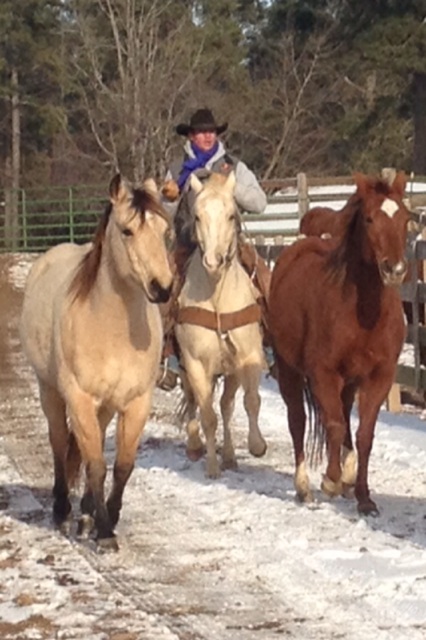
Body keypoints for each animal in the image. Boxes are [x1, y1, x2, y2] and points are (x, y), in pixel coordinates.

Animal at [20, 174, 173, 550]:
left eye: (165, 230)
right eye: (127, 230)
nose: (162, 288)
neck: (112, 329)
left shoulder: (135, 401)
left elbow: (121, 465)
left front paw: (107, 518)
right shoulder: (79, 399)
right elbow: (95, 465)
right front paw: (104, 533)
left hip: (104, 405)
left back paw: (86, 512)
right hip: (50, 390)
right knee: (59, 442)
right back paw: (63, 511)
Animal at [175, 171, 267, 478]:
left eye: (230, 215)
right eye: (197, 216)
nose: (213, 261)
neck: (217, 296)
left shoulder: (248, 357)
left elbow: (250, 401)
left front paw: (256, 445)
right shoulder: (195, 363)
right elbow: (207, 415)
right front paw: (212, 467)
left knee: (227, 405)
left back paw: (229, 455)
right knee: (194, 401)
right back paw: (196, 446)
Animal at [268, 171, 411, 515]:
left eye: (405, 218)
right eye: (370, 219)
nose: (395, 269)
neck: (364, 314)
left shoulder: (378, 376)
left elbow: (363, 433)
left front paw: (363, 496)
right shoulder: (323, 373)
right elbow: (332, 424)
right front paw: (331, 480)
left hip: (348, 382)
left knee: (345, 416)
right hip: (289, 370)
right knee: (298, 420)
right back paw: (304, 488)